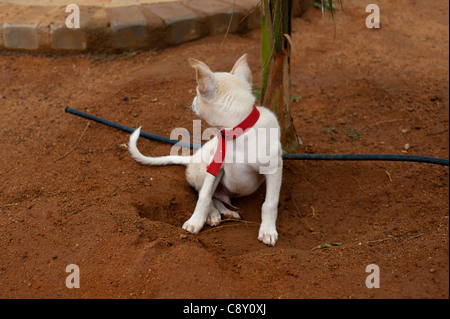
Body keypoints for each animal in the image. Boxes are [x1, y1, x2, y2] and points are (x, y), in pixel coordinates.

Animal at [128, 53, 282, 246]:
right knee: (208, 195)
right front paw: (195, 222)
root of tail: (191, 158)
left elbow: (270, 203)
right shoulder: (215, 168)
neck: (236, 134)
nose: (193, 101)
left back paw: (226, 212)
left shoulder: (274, 170)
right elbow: (204, 197)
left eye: (197, 93)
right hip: (203, 168)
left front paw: (268, 231)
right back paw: (214, 214)